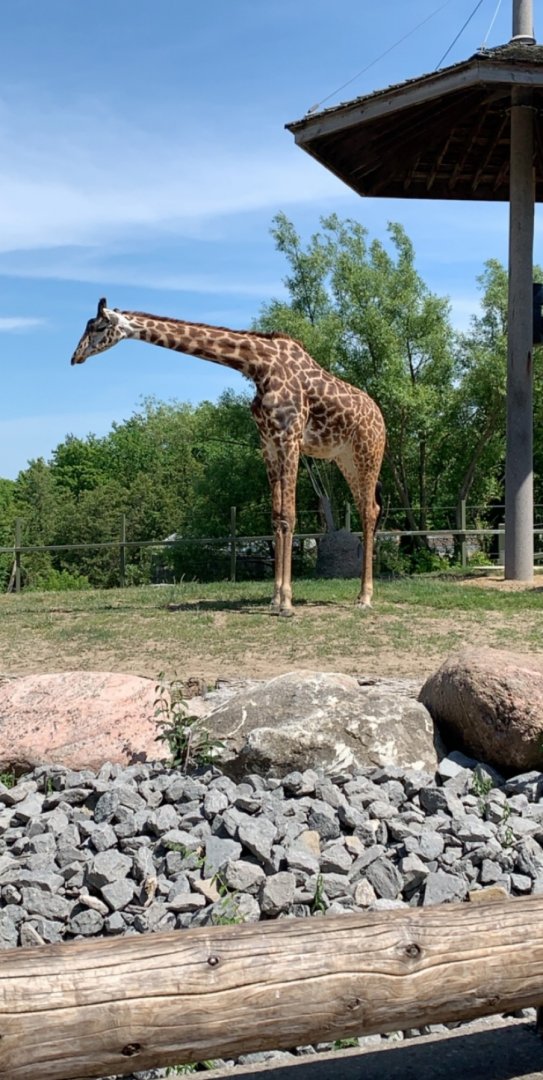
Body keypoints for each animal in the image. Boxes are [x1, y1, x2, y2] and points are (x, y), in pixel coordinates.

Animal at [70, 298, 386, 616]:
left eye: (98, 327)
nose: (75, 357)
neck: (259, 366)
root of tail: (381, 418)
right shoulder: (268, 443)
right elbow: (275, 518)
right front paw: (274, 598)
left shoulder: (289, 438)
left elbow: (288, 515)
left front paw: (286, 603)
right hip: (345, 459)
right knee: (367, 507)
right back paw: (360, 594)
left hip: (368, 453)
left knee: (370, 511)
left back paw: (365, 597)